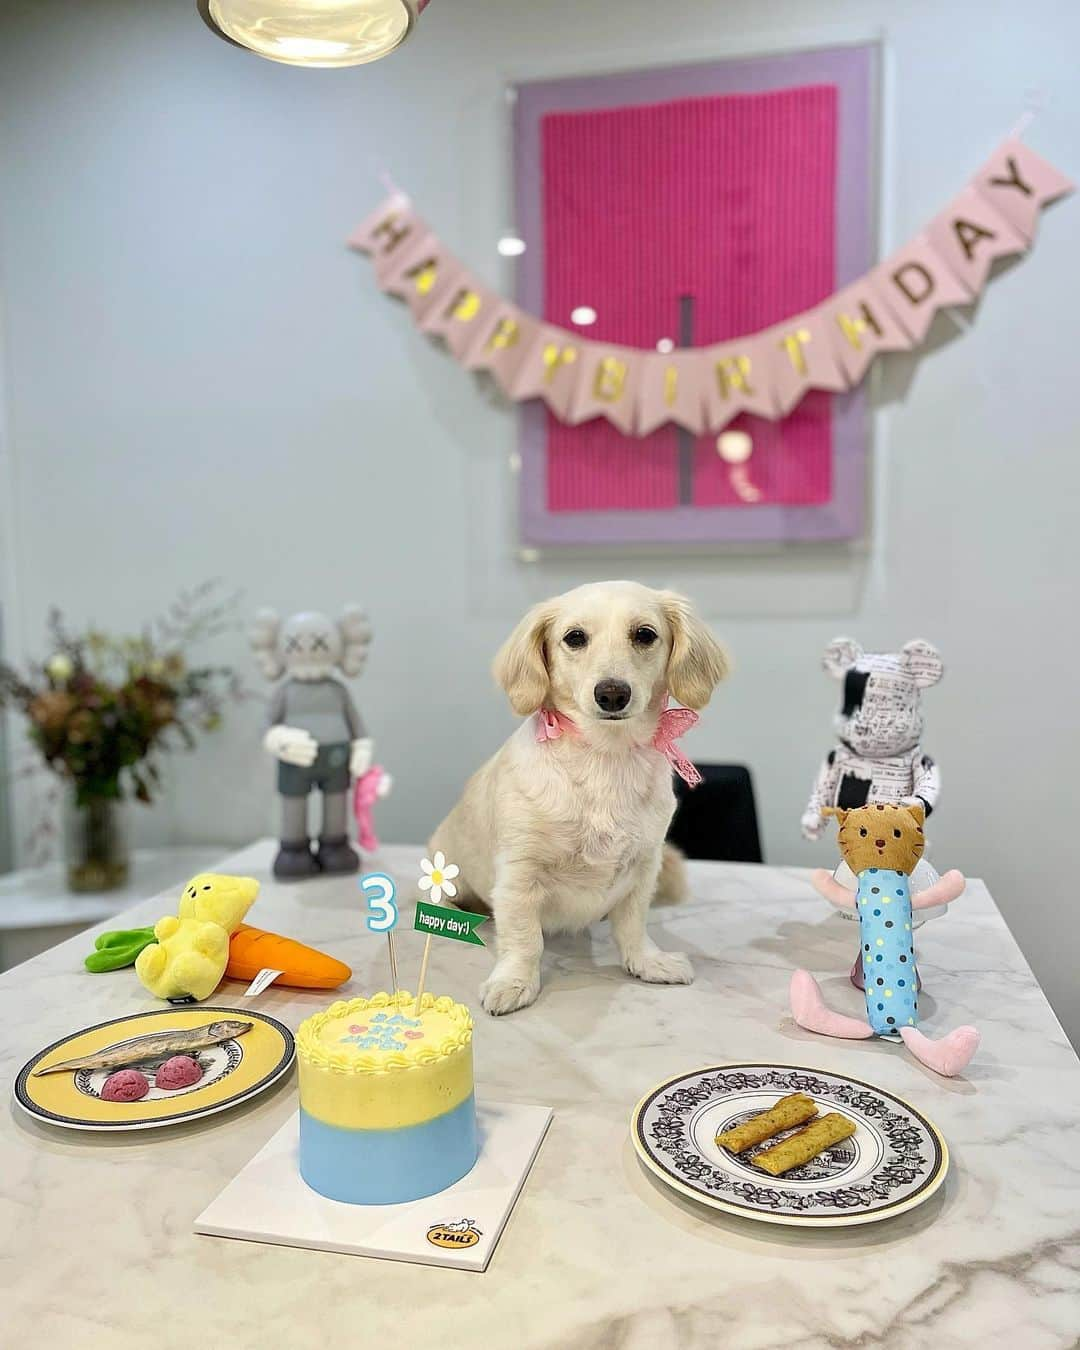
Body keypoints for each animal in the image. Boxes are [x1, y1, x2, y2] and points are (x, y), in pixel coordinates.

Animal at [429, 577, 723, 1015]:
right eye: (575, 637)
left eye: (645, 634)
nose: (613, 694)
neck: (604, 756)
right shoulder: (519, 873)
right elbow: (524, 938)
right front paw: (514, 982)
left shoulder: (643, 867)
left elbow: (632, 926)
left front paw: (648, 962)